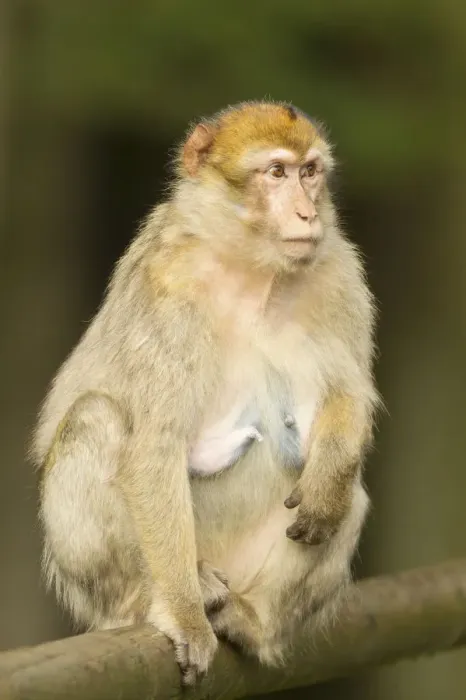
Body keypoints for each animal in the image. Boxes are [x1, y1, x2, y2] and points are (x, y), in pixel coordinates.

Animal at [32, 101, 378, 685]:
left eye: (310, 172)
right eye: (276, 172)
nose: (308, 215)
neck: (253, 270)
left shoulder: (339, 272)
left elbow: (351, 393)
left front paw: (329, 476)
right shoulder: (169, 287)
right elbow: (154, 446)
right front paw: (184, 618)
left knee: (348, 493)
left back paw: (251, 620)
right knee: (95, 419)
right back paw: (168, 594)